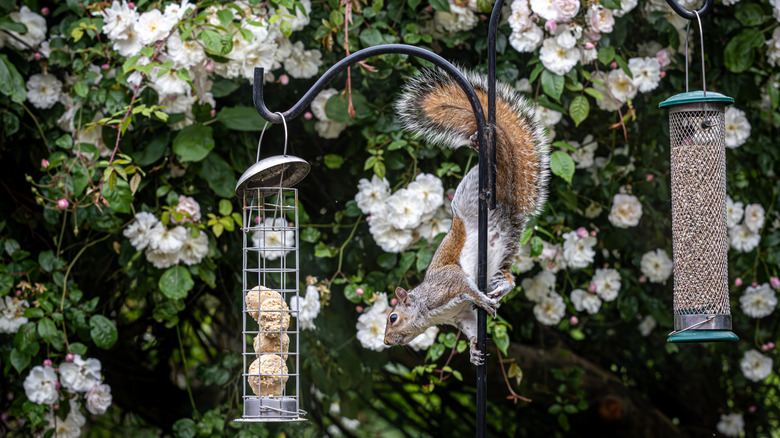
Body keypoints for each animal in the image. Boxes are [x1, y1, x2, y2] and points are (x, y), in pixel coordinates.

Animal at [383, 68, 550, 365]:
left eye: (393, 317)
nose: (386, 342)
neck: (428, 311)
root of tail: (509, 205)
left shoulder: (448, 283)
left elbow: (467, 287)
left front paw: (482, 300)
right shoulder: (459, 315)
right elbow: (472, 327)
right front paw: (474, 351)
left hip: (471, 192)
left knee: (496, 165)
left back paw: (481, 147)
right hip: (506, 248)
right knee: (509, 276)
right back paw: (501, 288)